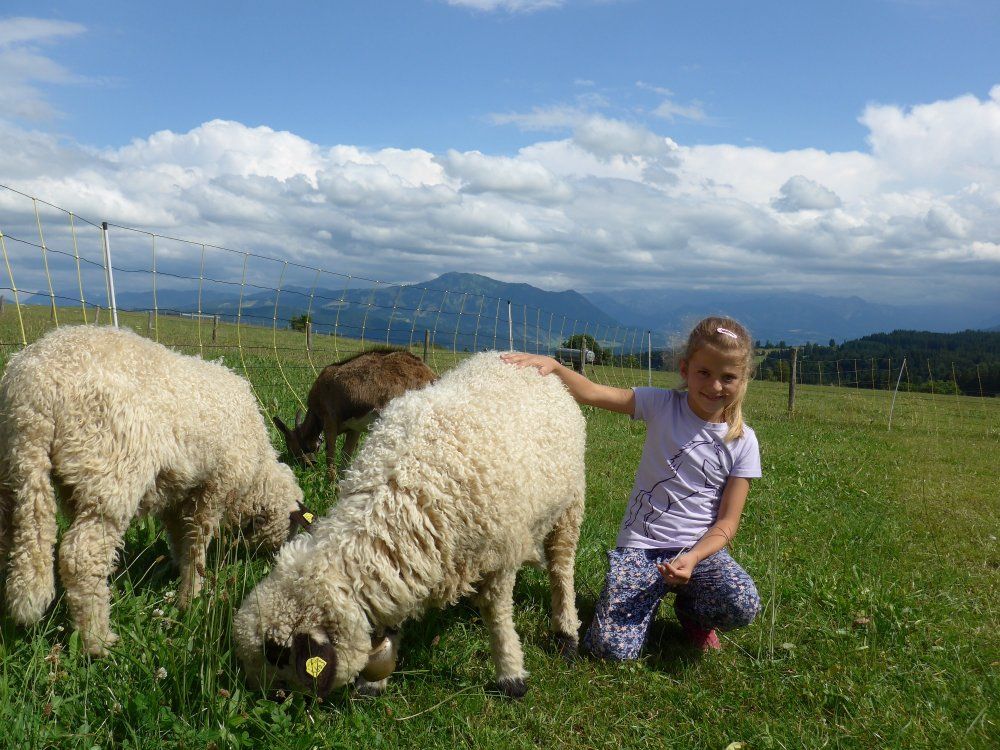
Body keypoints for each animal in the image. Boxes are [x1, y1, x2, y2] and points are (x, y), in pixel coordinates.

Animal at [0, 325, 310, 656]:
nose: (270, 556)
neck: (256, 472)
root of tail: (34, 388)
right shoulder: (215, 486)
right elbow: (197, 542)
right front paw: (192, 596)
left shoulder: (176, 493)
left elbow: (179, 537)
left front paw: (177, 572)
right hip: (110, 473)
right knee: (82, 557)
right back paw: (98, 642)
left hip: (17, 472)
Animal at [272, 348, 436, 483]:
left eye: (291, 446)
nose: (307, 465)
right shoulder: (354, 428)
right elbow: (346, 455)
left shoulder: (329, 420)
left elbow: (330, 454)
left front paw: (330, 485)